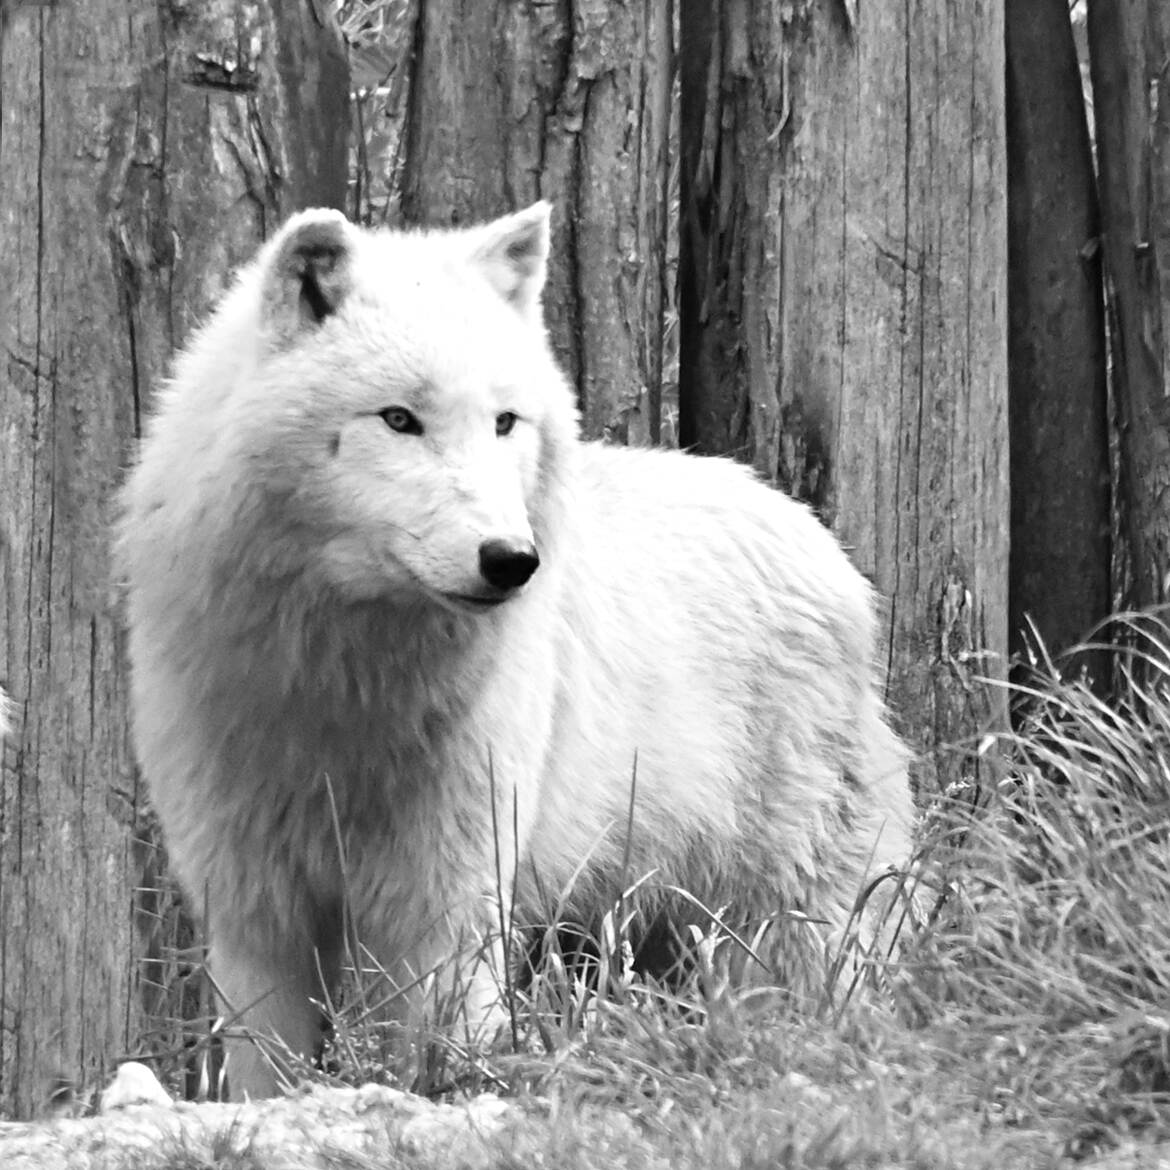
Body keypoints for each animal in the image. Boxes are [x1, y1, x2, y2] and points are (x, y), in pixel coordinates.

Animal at [116, 203, 914, 1099]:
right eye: (400, 419)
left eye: (504, 422)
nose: (510, 560)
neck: (344, 689)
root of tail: (822, 542)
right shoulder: (256, 909)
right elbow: (268, 1069)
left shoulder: (449, 899)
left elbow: (440, 1044)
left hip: (785, 922)